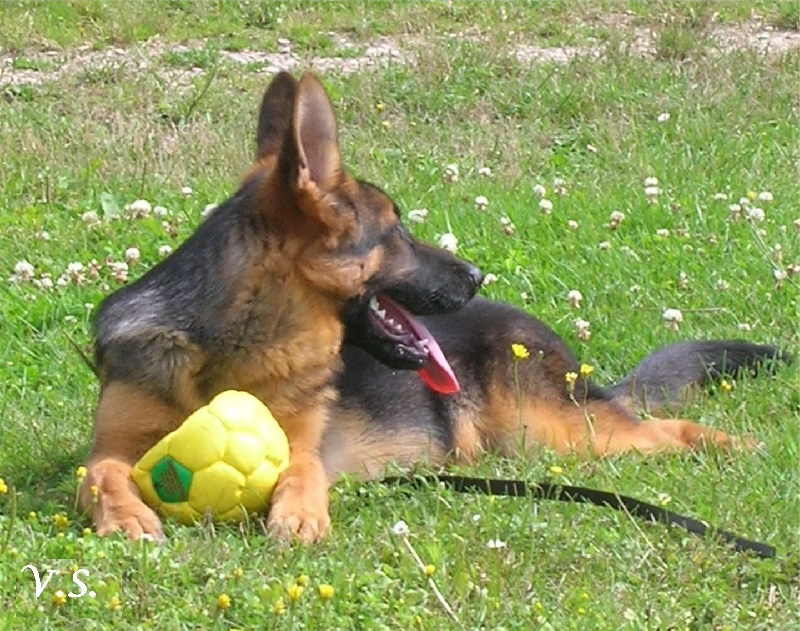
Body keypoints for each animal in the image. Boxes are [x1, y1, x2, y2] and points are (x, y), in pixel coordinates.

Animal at [79, 70, 780, 544]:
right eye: (396, 232)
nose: (476, 272)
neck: (230, 346)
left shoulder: (300, 443)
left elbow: (301, 469)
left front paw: (299, 512)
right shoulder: (110, 446)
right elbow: (101, 475)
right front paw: (127, 515)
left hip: (558, 431)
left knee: (666, 428)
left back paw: (733, 444)